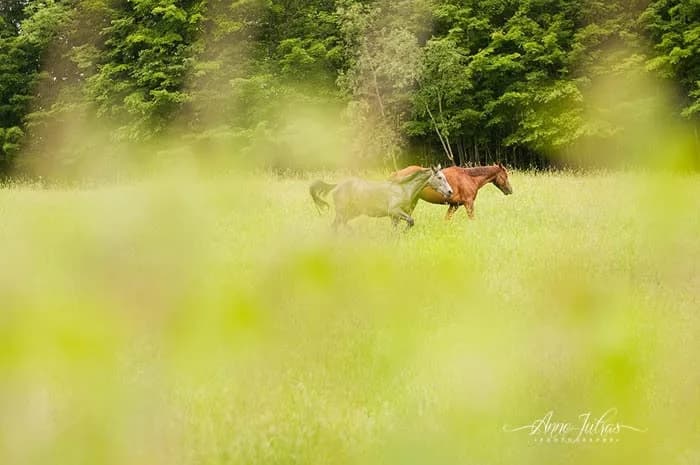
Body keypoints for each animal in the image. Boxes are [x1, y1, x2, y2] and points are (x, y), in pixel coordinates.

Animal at [310, 166, 453, 230]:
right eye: (439, 177)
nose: (450, 192)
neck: (403, 189)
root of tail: (337, 185)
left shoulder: (395, 217)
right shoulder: (394, 211)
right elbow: (411, 221)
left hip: (352, 213)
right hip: (342, 212)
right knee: (337, 226)